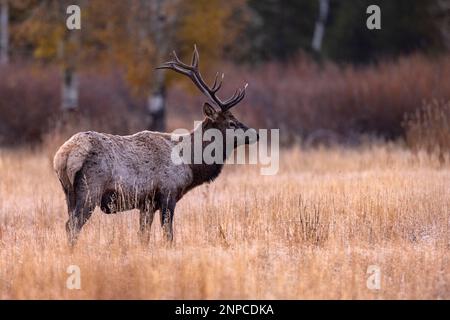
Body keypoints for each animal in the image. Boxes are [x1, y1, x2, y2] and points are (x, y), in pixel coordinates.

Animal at [53, 45, 258, 245]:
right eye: (231, 123)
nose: (255, 134)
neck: (190, 164)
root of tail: (64, 156)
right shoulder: (168, 193)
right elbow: (168, 235)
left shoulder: (147, 203)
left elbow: (143, 235)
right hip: (91, 189)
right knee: (72, 225)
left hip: (68, 192)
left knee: (69, 223)